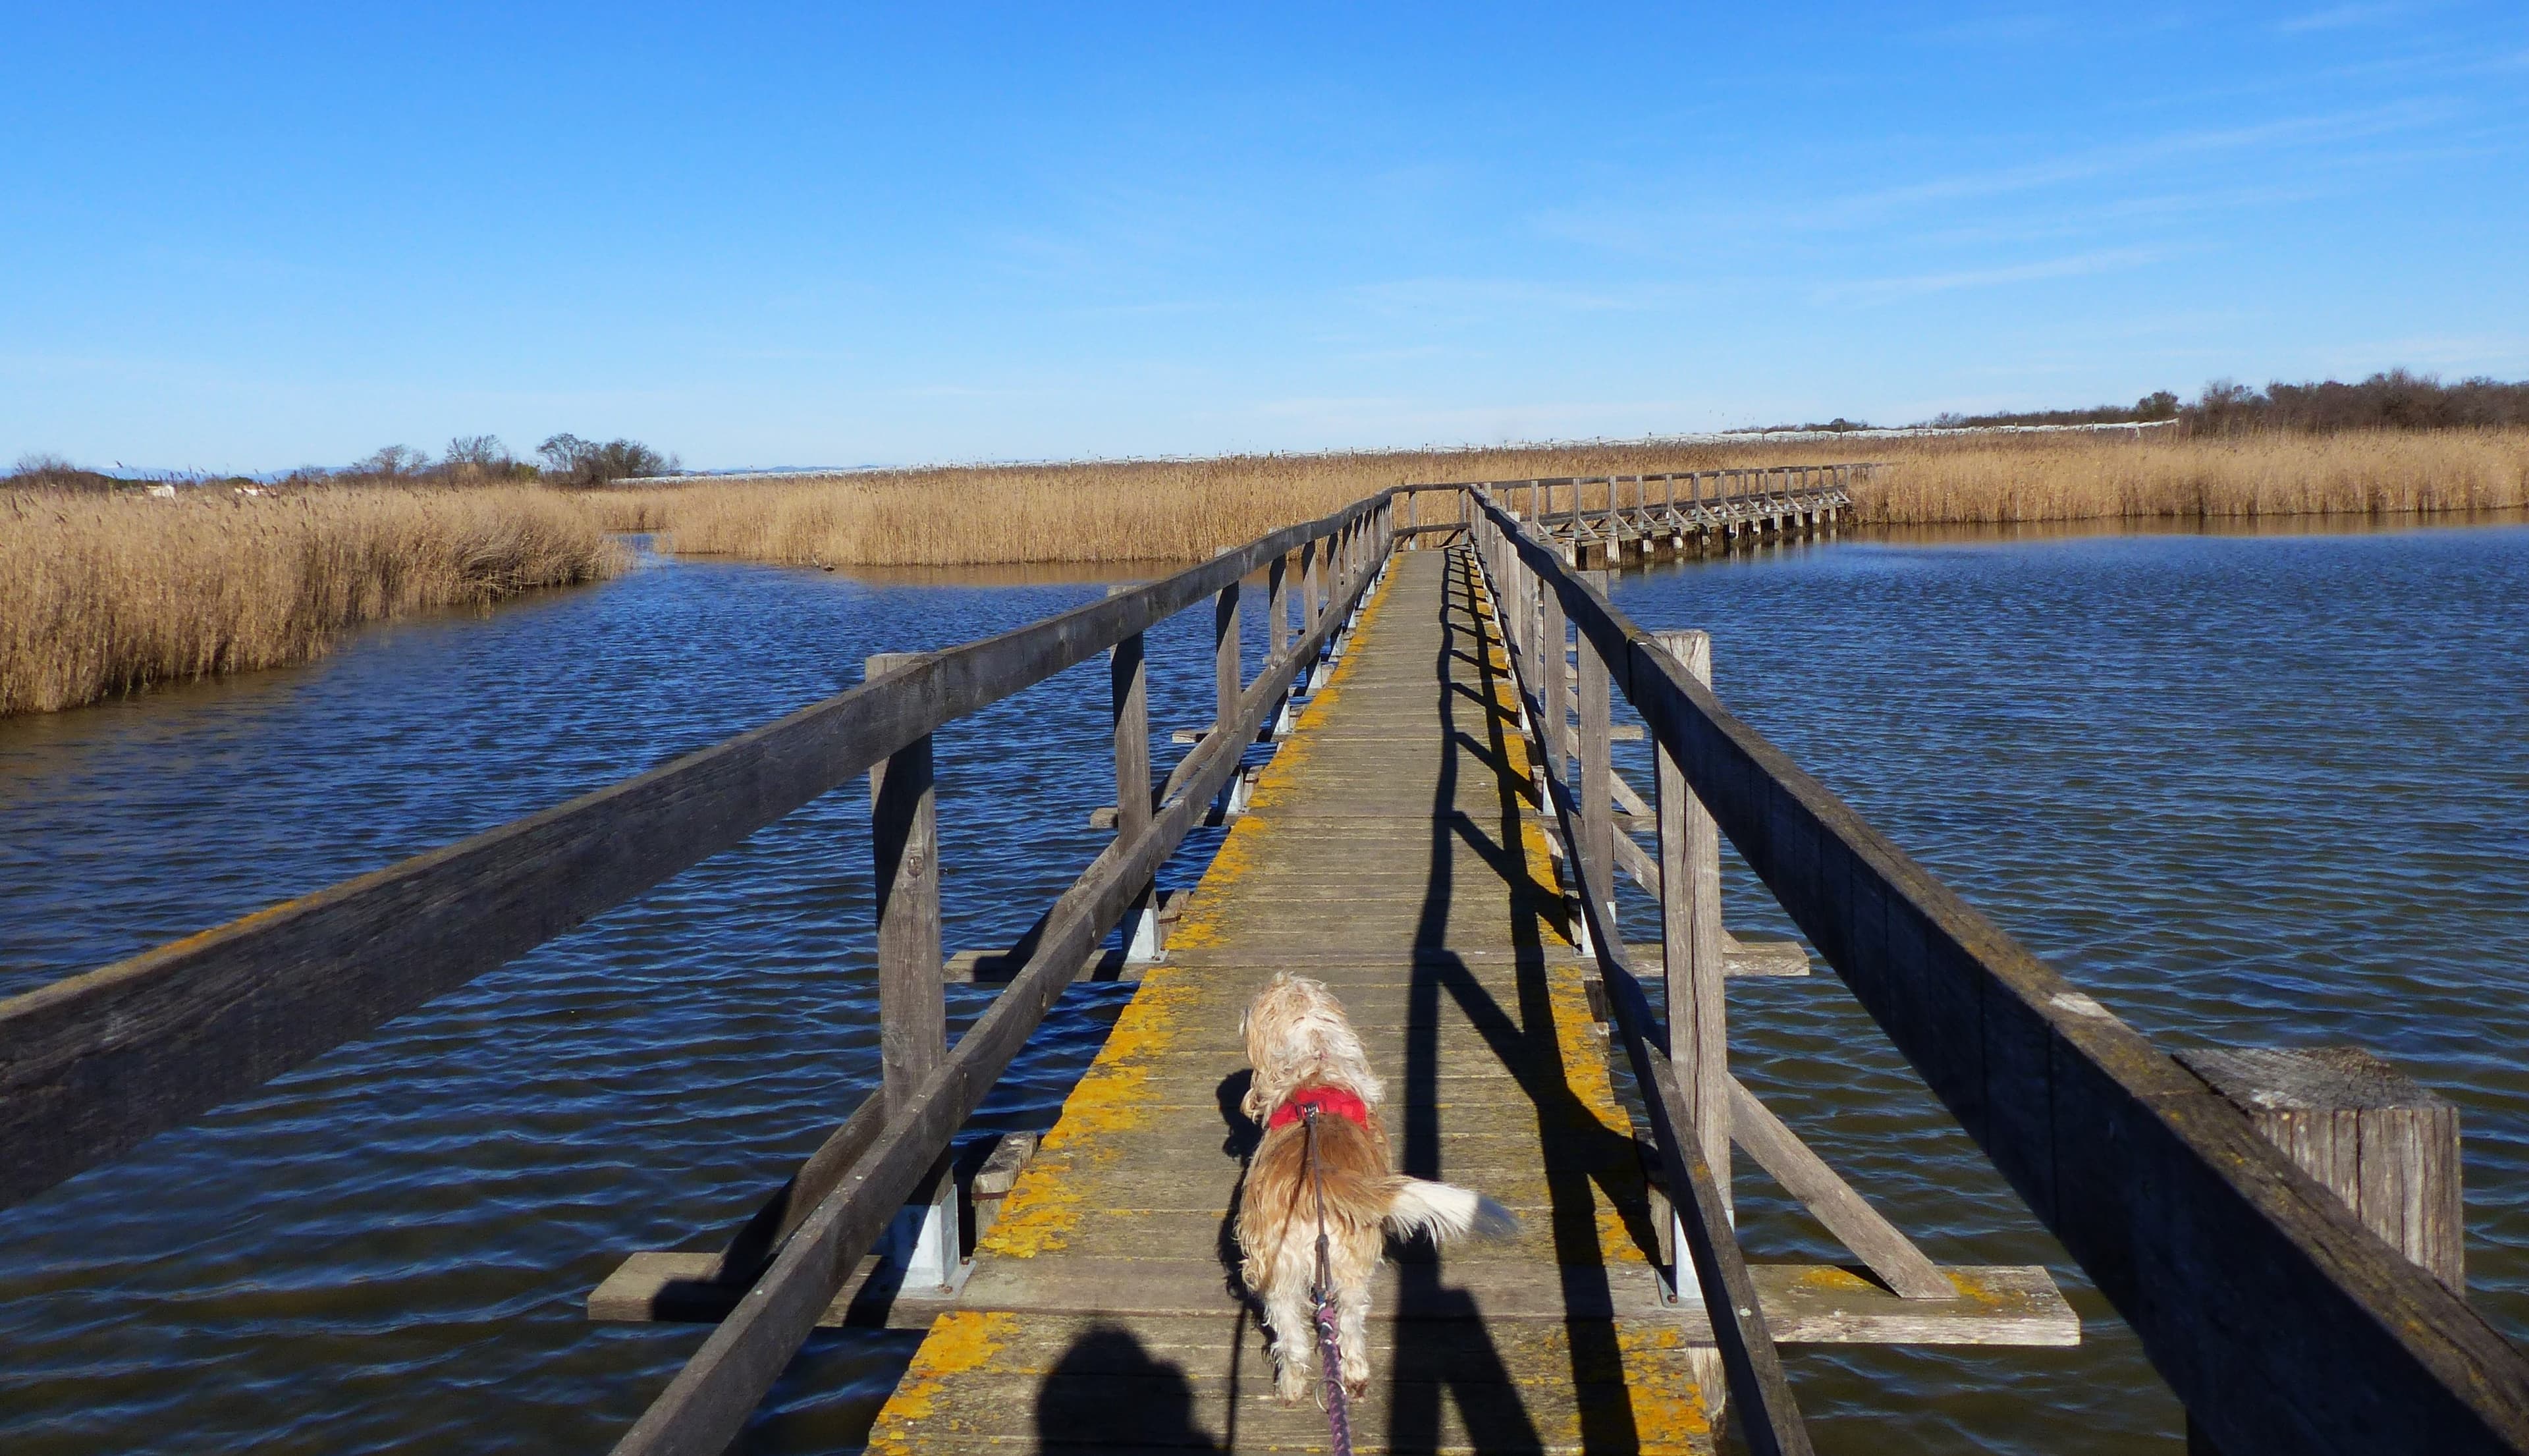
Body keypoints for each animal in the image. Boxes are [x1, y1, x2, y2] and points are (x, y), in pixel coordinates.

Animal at [1234, 971, 1507, 1405]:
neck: (1316, 1069)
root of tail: (1313, 1182)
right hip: (1346, 1268)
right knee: (1349, 1325)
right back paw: (1355, 1375)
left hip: (1282, 1272)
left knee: (1293, 1337)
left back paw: (1292, 1385)